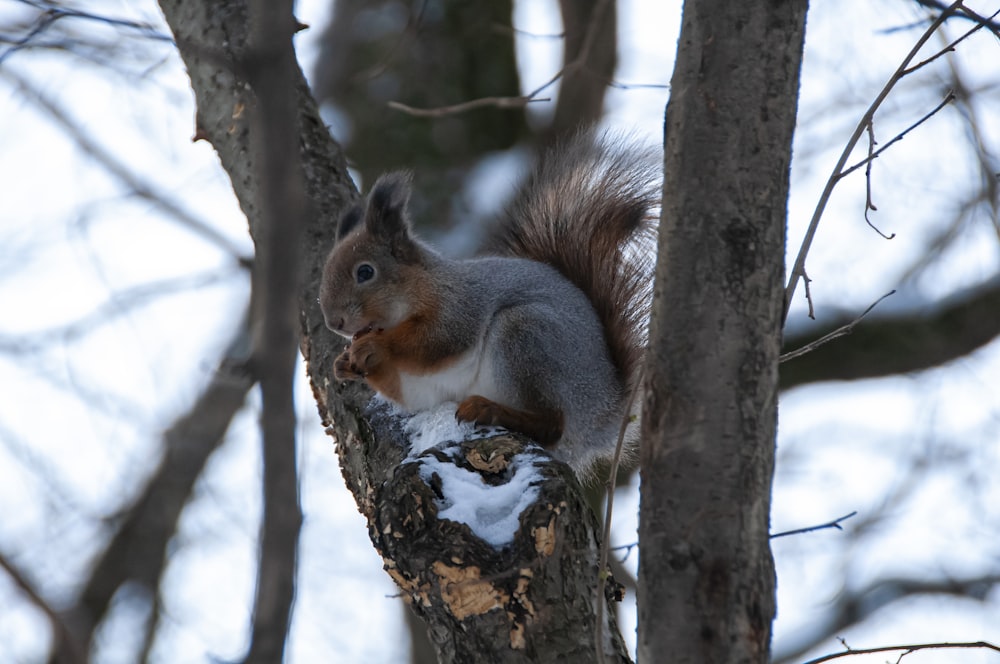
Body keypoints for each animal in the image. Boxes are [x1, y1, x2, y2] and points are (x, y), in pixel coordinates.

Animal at [320, 132, 660, 478]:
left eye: (365, 272)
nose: (334, 322)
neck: (419, 290)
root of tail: (602, 416)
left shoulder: (460, 306)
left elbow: (436, 341)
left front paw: (375, 345)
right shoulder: (415, 385)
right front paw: (344, 364)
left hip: (527, 336)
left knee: (552, 425)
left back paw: (490, 409)